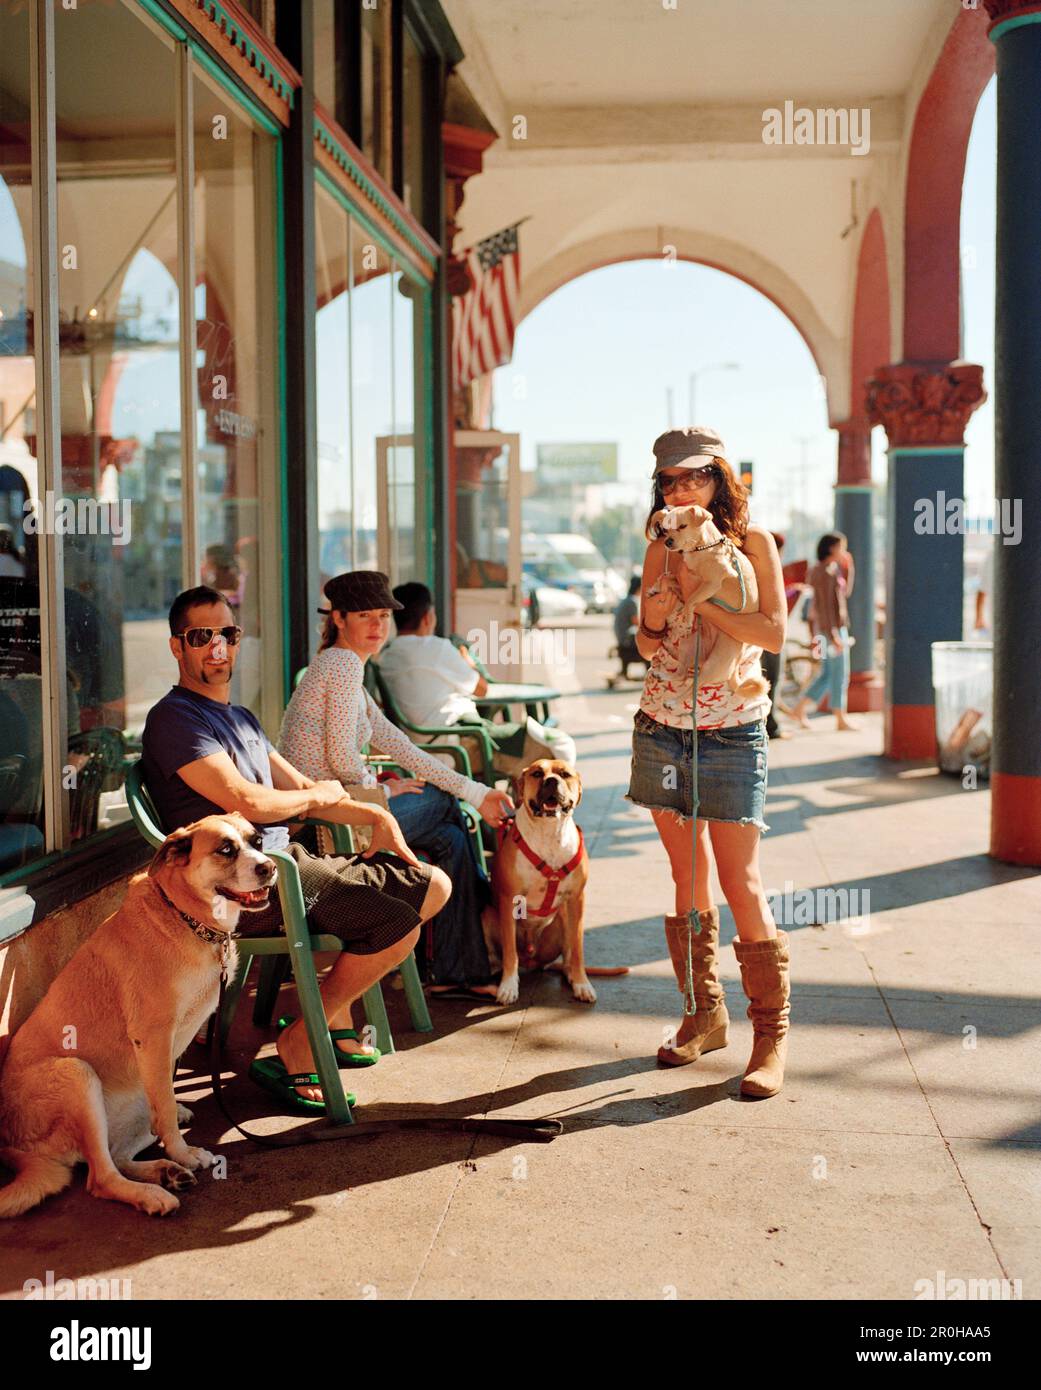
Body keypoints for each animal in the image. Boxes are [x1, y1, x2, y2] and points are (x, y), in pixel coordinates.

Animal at [0, 811, 276, 1217]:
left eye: (256, 841)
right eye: (225, 850)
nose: (269, 867)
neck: (184, 916)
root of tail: (12, 1144)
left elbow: (167, 1095)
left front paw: (177, 1132)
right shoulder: (154, 1036)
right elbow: (165, 1100)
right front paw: (182, 1151)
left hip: (129, 1104)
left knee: (118, 1153)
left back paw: (165, 1173)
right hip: (77, 1074)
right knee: (100, 1177)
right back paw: (154, 1191)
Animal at [653, 503, 767, 700]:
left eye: (682, 526)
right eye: (666, 530)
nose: (668, 542)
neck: (703, 547)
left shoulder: (711, 584)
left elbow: (691, 599)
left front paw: (687, 618)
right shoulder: (685, 580)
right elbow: (668, 578)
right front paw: (654, 588)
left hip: (712, 666)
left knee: (692, 687)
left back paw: (673, 702)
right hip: (688, 646)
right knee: (682, 674)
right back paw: (664, 676)